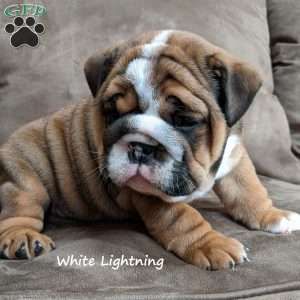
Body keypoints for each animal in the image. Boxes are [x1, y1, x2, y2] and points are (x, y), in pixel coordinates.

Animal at [0, 31, 300, 270]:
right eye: (112, 113)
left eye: (185, 120)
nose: (139, 147)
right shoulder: (150, 193)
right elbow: (183, 217)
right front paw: (212, 244)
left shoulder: (234, 156)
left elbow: (249, 190)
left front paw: (272, 215)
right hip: (23, 178)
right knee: (20, 210)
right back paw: (23, 238)